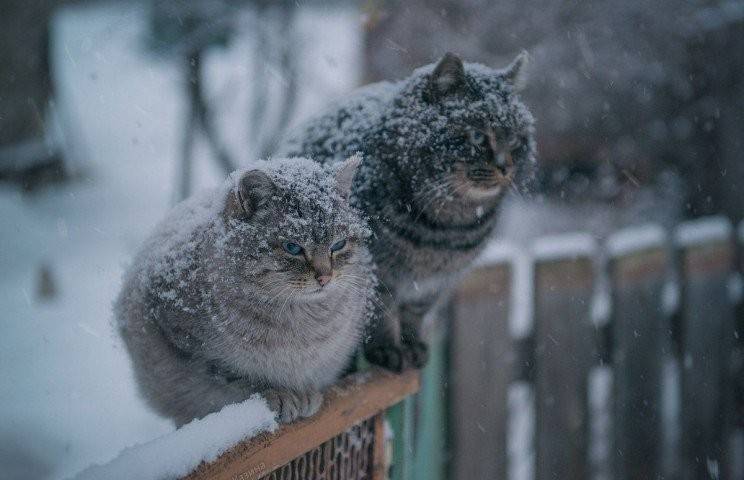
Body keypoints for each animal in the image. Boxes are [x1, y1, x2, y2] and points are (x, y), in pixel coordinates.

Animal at [115, 156, 378, 426]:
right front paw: (280, 393)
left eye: (338, 245)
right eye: (293, 247)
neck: (300, 320)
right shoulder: (192, 346)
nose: (325, 277)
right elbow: (239, 379)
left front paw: (304, 394)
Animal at [280, 51, 536, 372]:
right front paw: (388, 350)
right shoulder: (377, 274)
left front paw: (412, 345)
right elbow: (381, 315)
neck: (447, 230)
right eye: (478, 136)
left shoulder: (434, 284)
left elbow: (414, 315)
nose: (505, 167)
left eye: (514, 139)